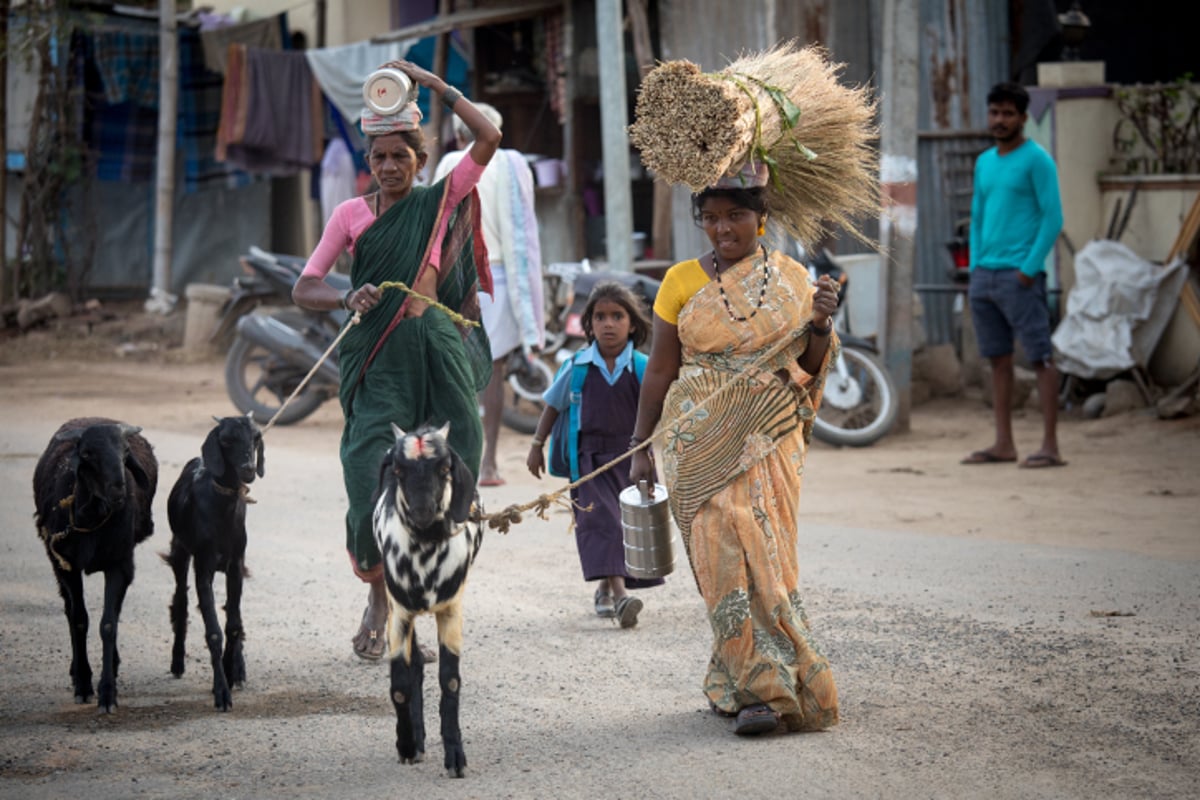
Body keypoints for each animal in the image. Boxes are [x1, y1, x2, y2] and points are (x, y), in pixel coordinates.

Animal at [31, 419, 158, 714]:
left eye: (125, 451)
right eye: (87, 454)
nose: (118, 490)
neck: (92, 518)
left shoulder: (120, 565)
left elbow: (108, 624)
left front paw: (108, 693)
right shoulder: (66, 566)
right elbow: (79, 620)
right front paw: (84, 685)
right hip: (57, 565)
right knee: (69, 611)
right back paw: (76, 671)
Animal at [164, 417, 262, 710]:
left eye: (256, 437)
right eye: (227, 440)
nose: (248, 469)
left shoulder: (235, 566)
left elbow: (233, 625)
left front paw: (231, 672)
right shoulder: (203, 567)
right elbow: (214, 632)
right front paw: (221, 691)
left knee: (234, 614)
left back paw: (239, 669)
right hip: (181, 551)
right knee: (181, 602)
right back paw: (177, 662)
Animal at [376, 422, 484, 777]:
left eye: (445, 469)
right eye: (398, 470)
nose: (423, 512)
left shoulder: (451, 611)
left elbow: (450, 682)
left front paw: (455, 757)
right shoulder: (399, 613)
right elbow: (400, 685)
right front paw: (407, 745)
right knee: (415, 667)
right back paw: (417, 740)